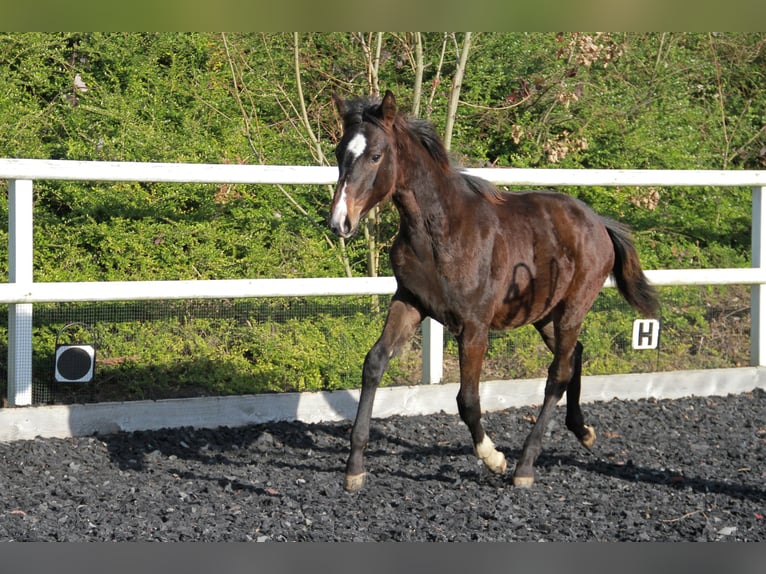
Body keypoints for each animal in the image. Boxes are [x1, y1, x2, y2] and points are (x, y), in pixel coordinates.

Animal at [330, 91, 660, 496]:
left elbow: (467, 399)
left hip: (573, 308)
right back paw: (583, 431)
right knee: (574, 356)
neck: (438, 232)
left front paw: (494, 458)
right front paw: (354, 467)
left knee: (557, 374)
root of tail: (598, 223)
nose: (339, 222)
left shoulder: (474, 326)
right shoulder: (409, 301)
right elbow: (374, 363)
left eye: (376, 155)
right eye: (339, 151)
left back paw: (525, 465)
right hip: (544, 314)